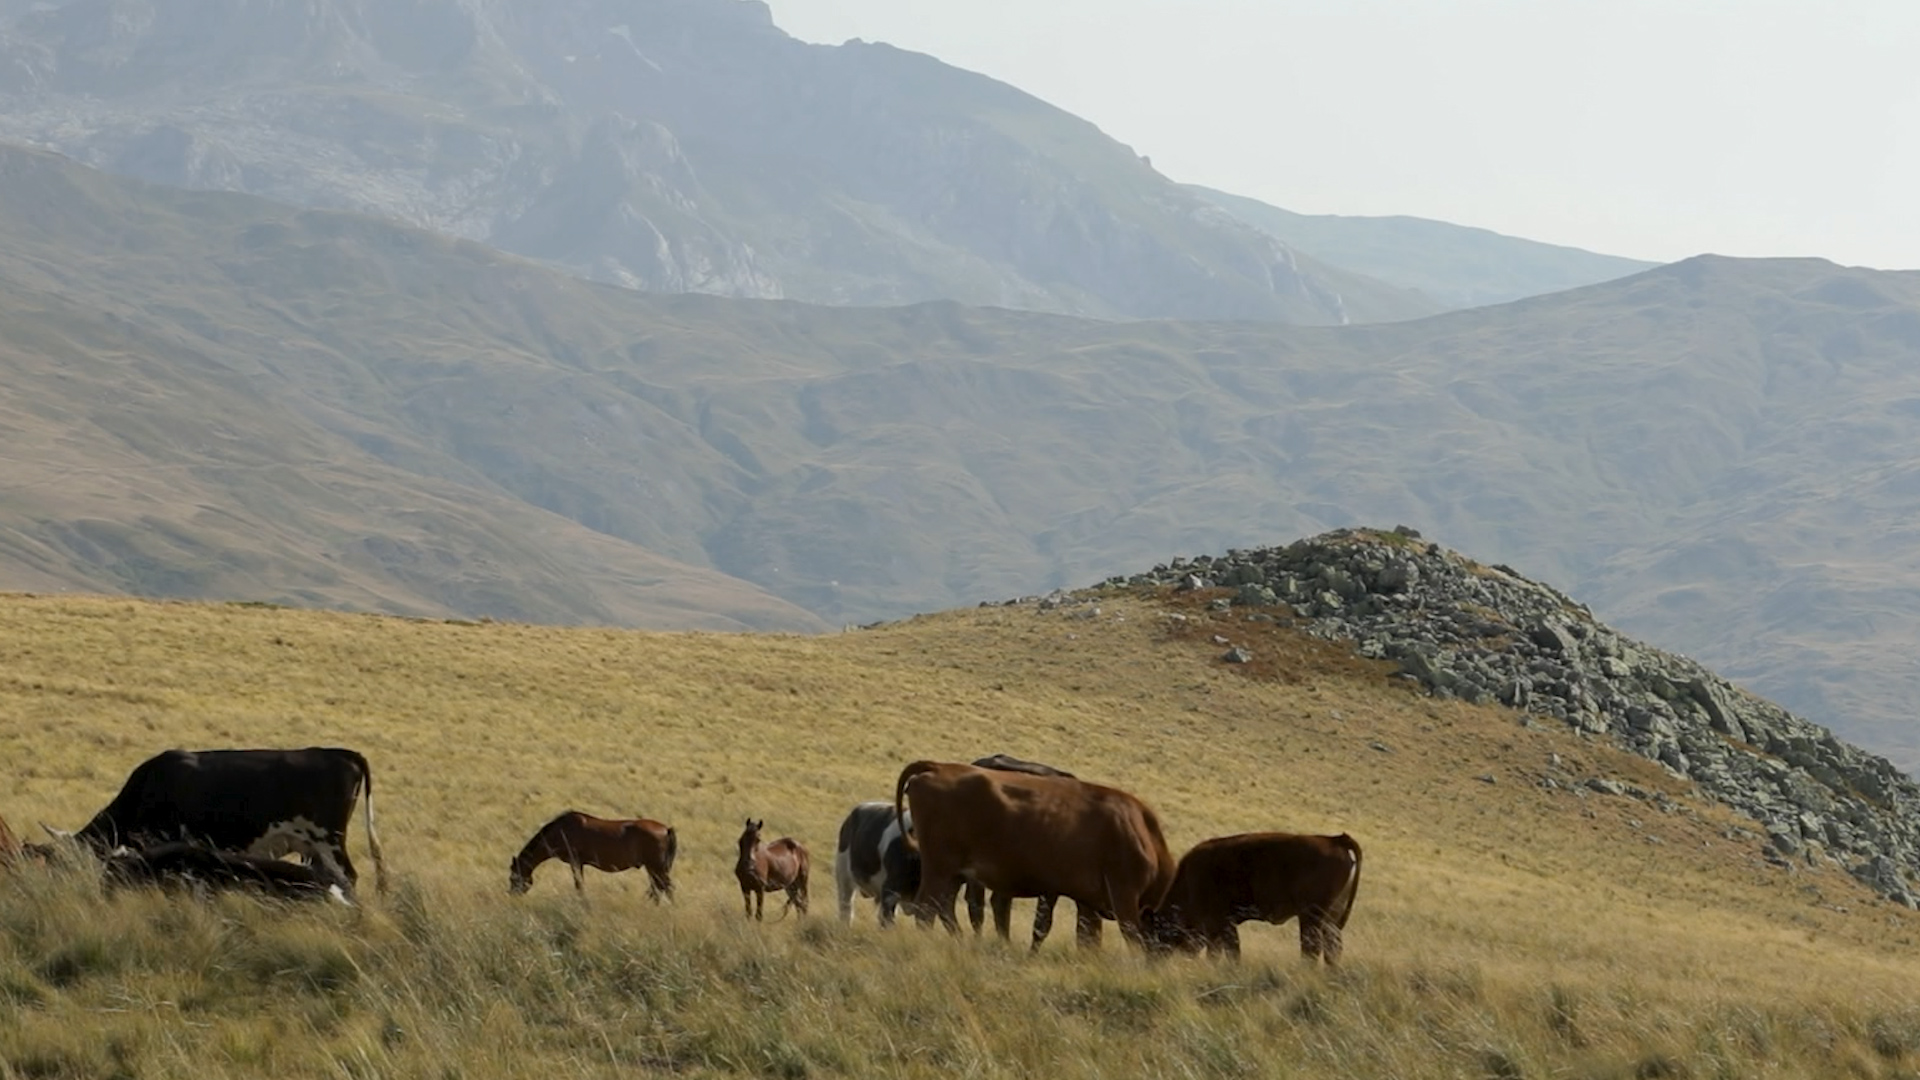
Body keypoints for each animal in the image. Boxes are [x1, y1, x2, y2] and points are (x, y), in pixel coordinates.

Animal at [506, 803, 679, 895]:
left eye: (513, 877)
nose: (512, 894)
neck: (561, 831)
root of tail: (666, 829)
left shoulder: (576, 863)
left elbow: (579, 885)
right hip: (653, 869)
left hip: (657, 868)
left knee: (666, 889)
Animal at [890, 757, 1175, 941]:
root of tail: (940, 768)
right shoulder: (1122, 896)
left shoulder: (1087, 901)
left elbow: (1086, 937)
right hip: (940, 869)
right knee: (929, 910)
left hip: (953, 874)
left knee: (945, 907)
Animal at [1136, 834, 1367, 957]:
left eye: (1151, 937)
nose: (1151, 963)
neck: (1189, 881)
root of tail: (1334, 840)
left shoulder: (1220, 924)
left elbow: (1228, 953)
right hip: (1329, 920)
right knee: (1332, 949)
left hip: (1311, 917)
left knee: (1311, 949)